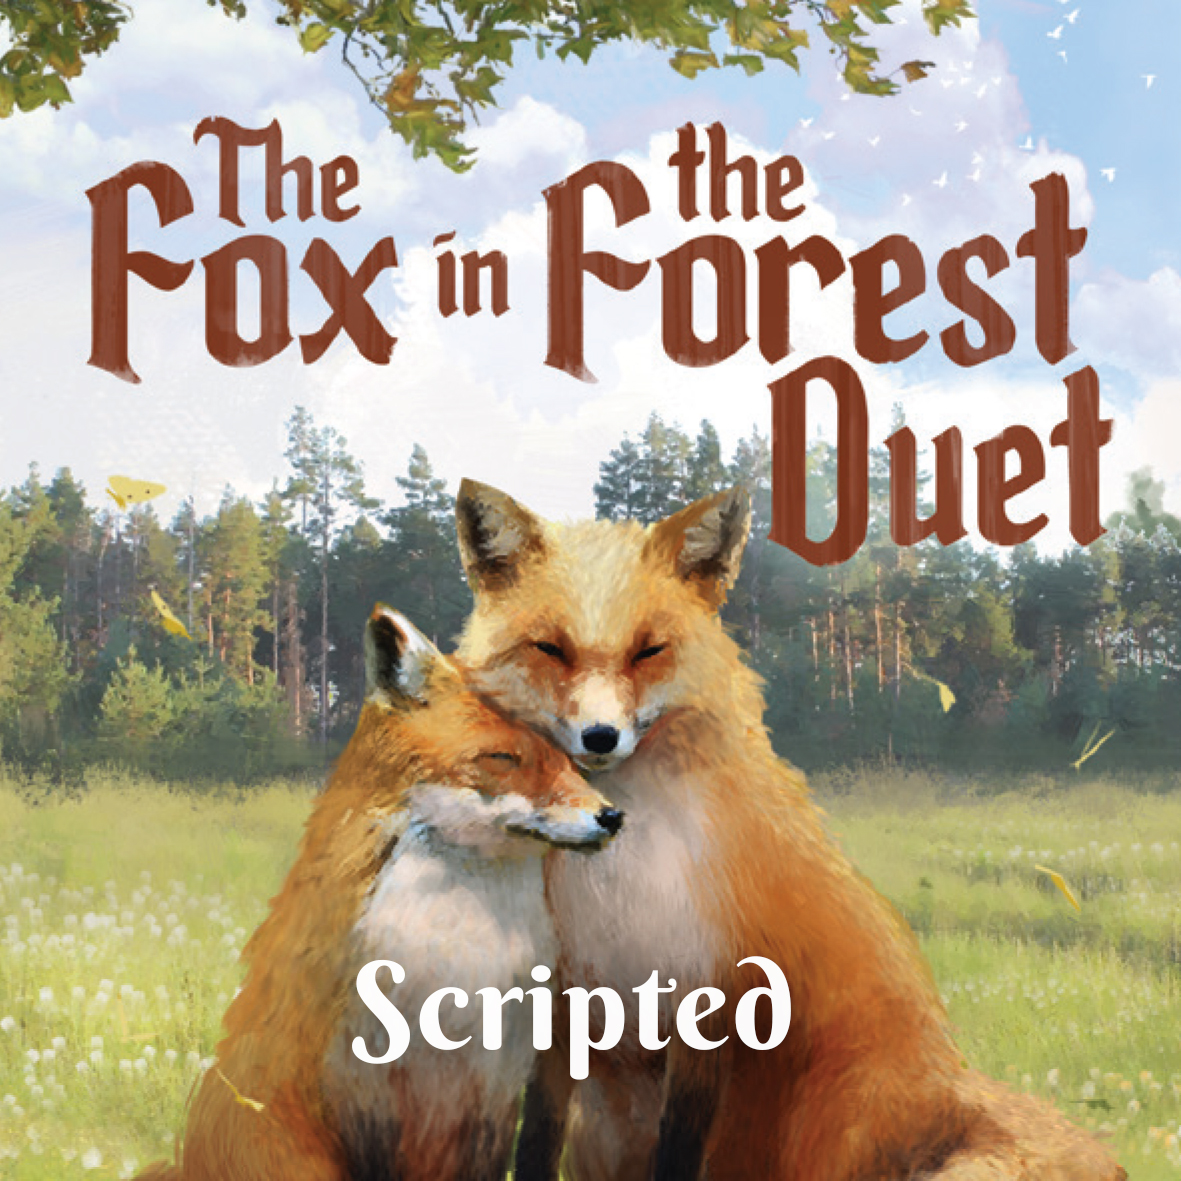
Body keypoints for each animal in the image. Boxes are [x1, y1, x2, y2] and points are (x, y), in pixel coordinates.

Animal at [452, 480, 1125, 1181]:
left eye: (649, 650)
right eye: (551, 648)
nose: (600, 737)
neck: (619, 886)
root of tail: (950, 1078)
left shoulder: (707, 1003)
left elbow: (679, 1149)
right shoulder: (560, 1008)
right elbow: (535, 1141)